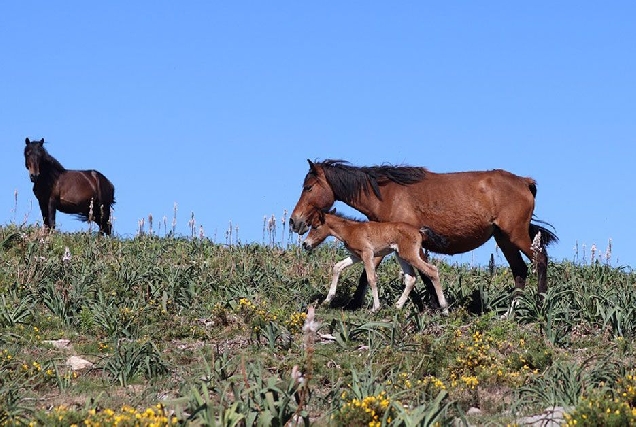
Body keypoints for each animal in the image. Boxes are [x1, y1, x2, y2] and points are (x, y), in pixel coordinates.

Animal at [288, 159, 556, 310]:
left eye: (308, 187)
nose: (294, 221)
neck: (387, 194)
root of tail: (524, 182)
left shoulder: (397, 246)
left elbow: (379, 274)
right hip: (504, 238)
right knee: (520, 270)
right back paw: (512, 310)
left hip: (516, 235)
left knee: (540, 260)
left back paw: (541, 303)